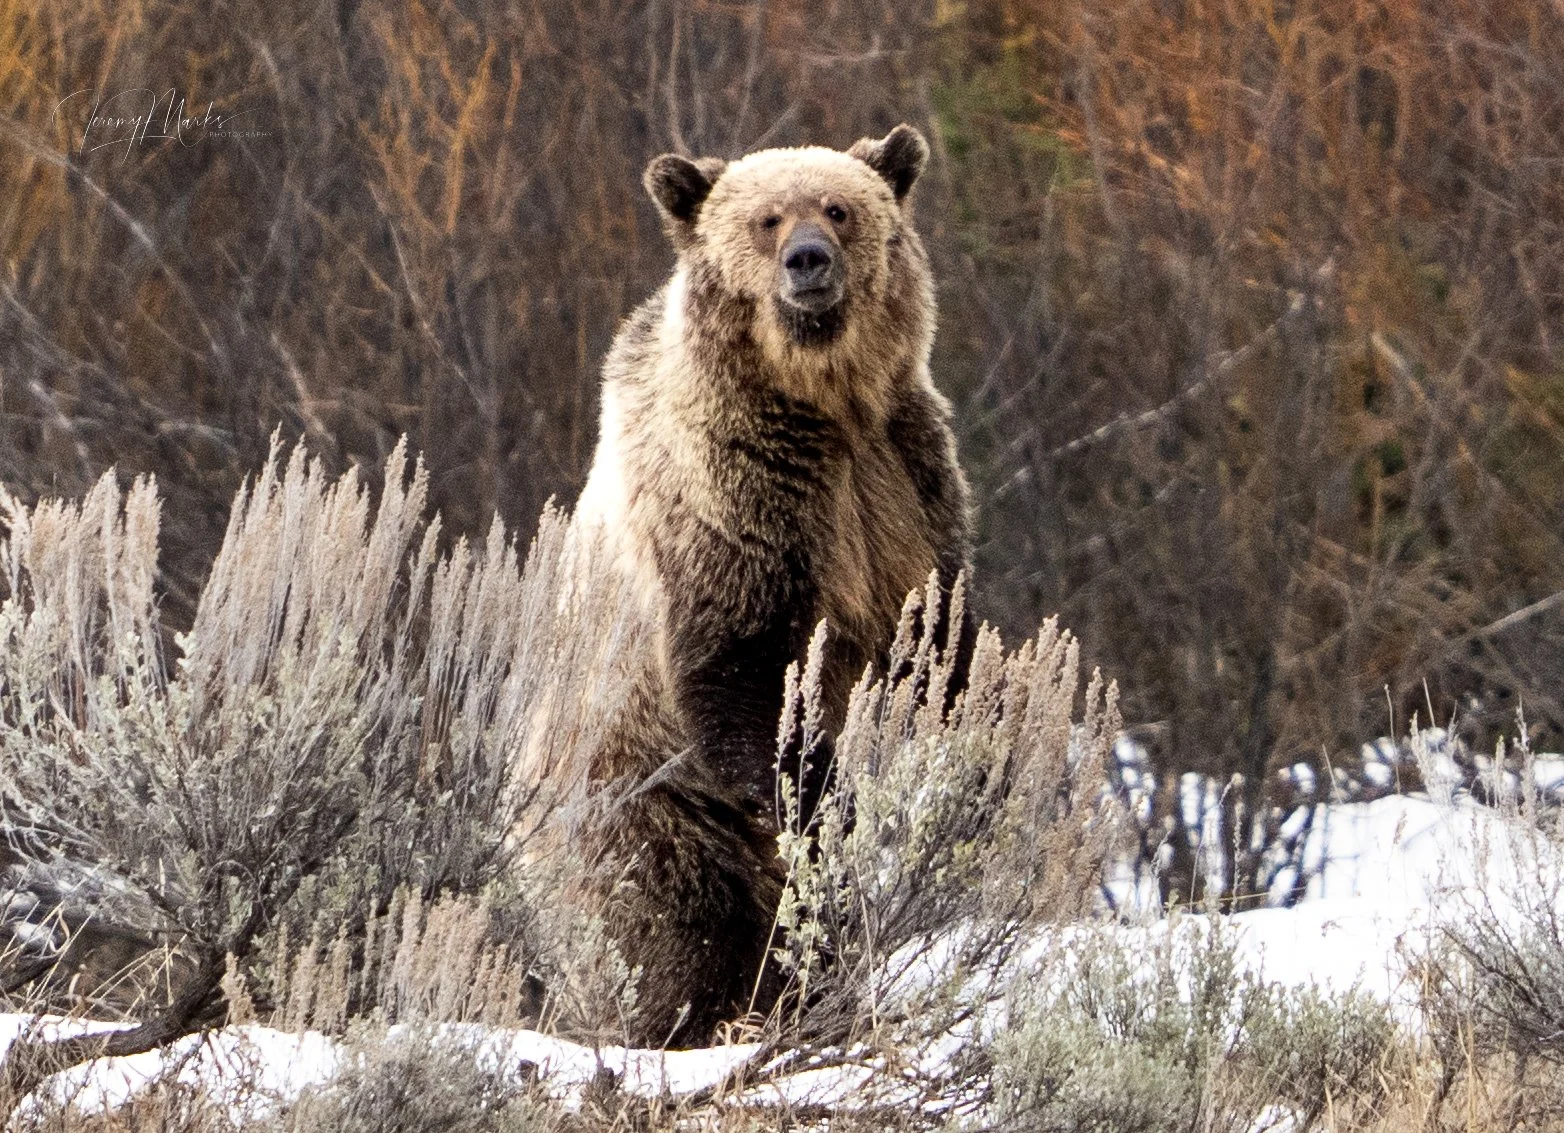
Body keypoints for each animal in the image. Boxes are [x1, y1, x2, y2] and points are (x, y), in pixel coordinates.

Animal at [564, 124, 972, 1047]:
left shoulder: (906, 484)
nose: (808, 262)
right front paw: (822, 795)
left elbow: (936, 639)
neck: (827, 405)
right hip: (651, 807)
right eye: (765, 218)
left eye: (839, 207)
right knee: (677, 925)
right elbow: (747, 671)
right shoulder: (737, 500)